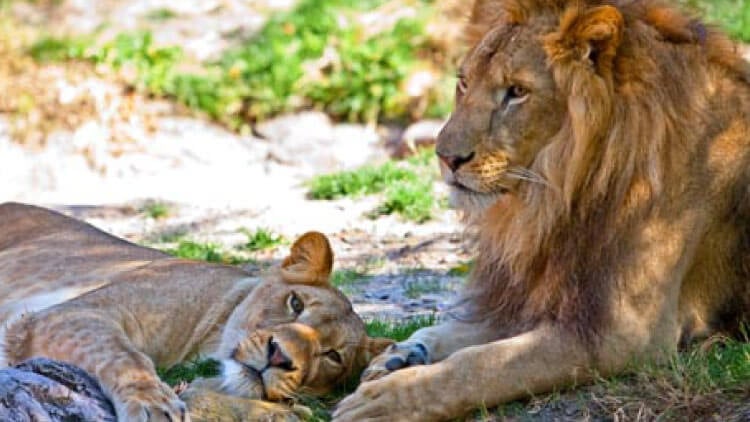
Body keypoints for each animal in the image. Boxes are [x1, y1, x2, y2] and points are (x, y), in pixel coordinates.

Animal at [0, 202, 392, 421]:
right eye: (295, 304)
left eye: (333, 356)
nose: (279, 357)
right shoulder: (70, 314)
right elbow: (124, 356)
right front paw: (153, 404)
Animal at [333, 1, 750, 420]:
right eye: (464, 82)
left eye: (516, 92)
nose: (446, 157)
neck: (557, 195)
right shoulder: (534, 292)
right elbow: (455, 332)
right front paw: (400, 355)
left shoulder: (625, 335)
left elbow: (482, 363)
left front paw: (387, 399)